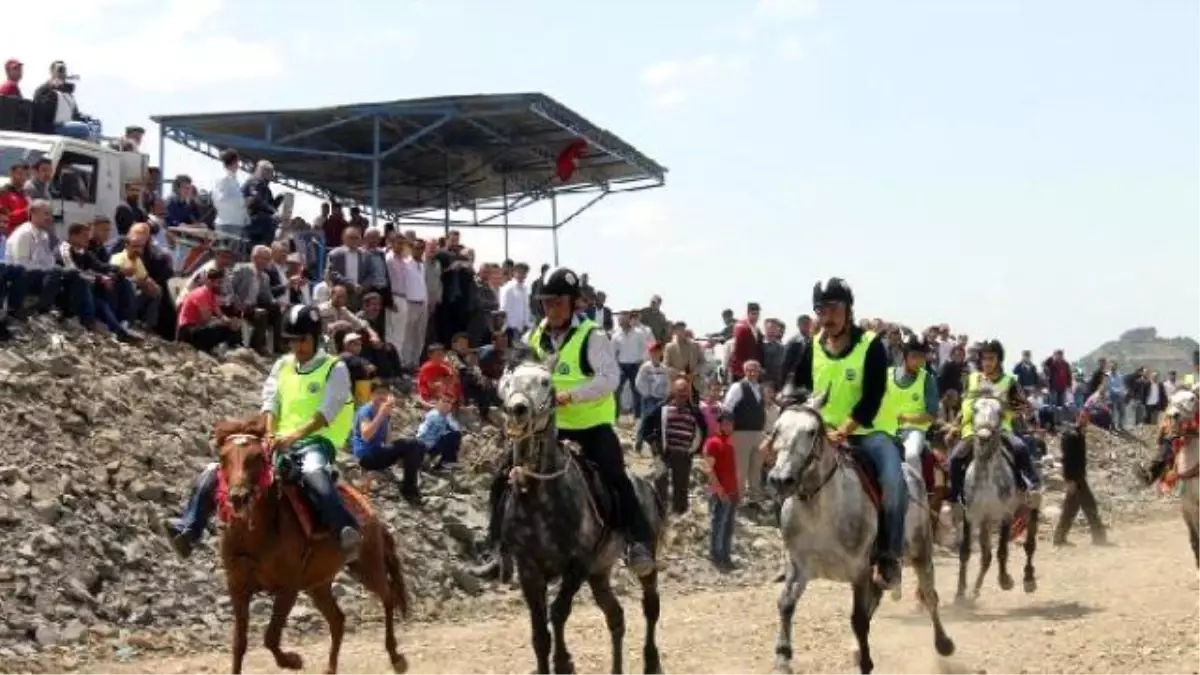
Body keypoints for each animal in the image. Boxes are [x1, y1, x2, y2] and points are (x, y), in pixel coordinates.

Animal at [210, 415, 408, 672]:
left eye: (258, 457)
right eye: (223, 457)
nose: (238, 497)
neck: (255, 534)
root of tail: (371, 512)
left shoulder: (288, 589)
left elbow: (270, 637)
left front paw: (292, 661)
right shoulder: (238, 588)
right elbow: (239, 644)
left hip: (368, 567)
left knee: (388, 597)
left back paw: (395, 656)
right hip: (318, 584)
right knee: (338, 620)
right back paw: (330, 669)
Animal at [492, 360, 672, 672]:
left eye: (545, 382)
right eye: (508, 382)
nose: (517, 410)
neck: (540, 497)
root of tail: (647, 483)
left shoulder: (577, 565)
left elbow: (558, 613)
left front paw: (564, 663)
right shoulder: (529, 570)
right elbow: (540, 634)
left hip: (643, 560)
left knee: (651, 607)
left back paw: (651, 662)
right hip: (599, 573)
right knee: (616, 616)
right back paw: (616, 669)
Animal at [763, 389, 950, 672]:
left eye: (811, 431)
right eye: (776, 429)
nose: (780, 480)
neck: (821, 513)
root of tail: (912, 472)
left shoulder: (859, 571)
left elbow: (859, 619)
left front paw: (866, 663)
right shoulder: (799, 566)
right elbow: (785, 603)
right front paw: (783, 656)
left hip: (920, 550)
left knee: (929, 595)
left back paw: (944, 644)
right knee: (879, 597)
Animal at [950, 391, 1036, 600]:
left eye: (1000, 411)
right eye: (974, 409)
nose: (984, 437)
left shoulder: (1006, 515)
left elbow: (1002, 551)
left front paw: (1005, 580)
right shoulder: (971, 516)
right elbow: (965, 552)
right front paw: (960, 592)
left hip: (1029, 508)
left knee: (1029, 545)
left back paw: (1029, 579)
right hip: (985, 522)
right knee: (986, 556)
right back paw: (975, 590)